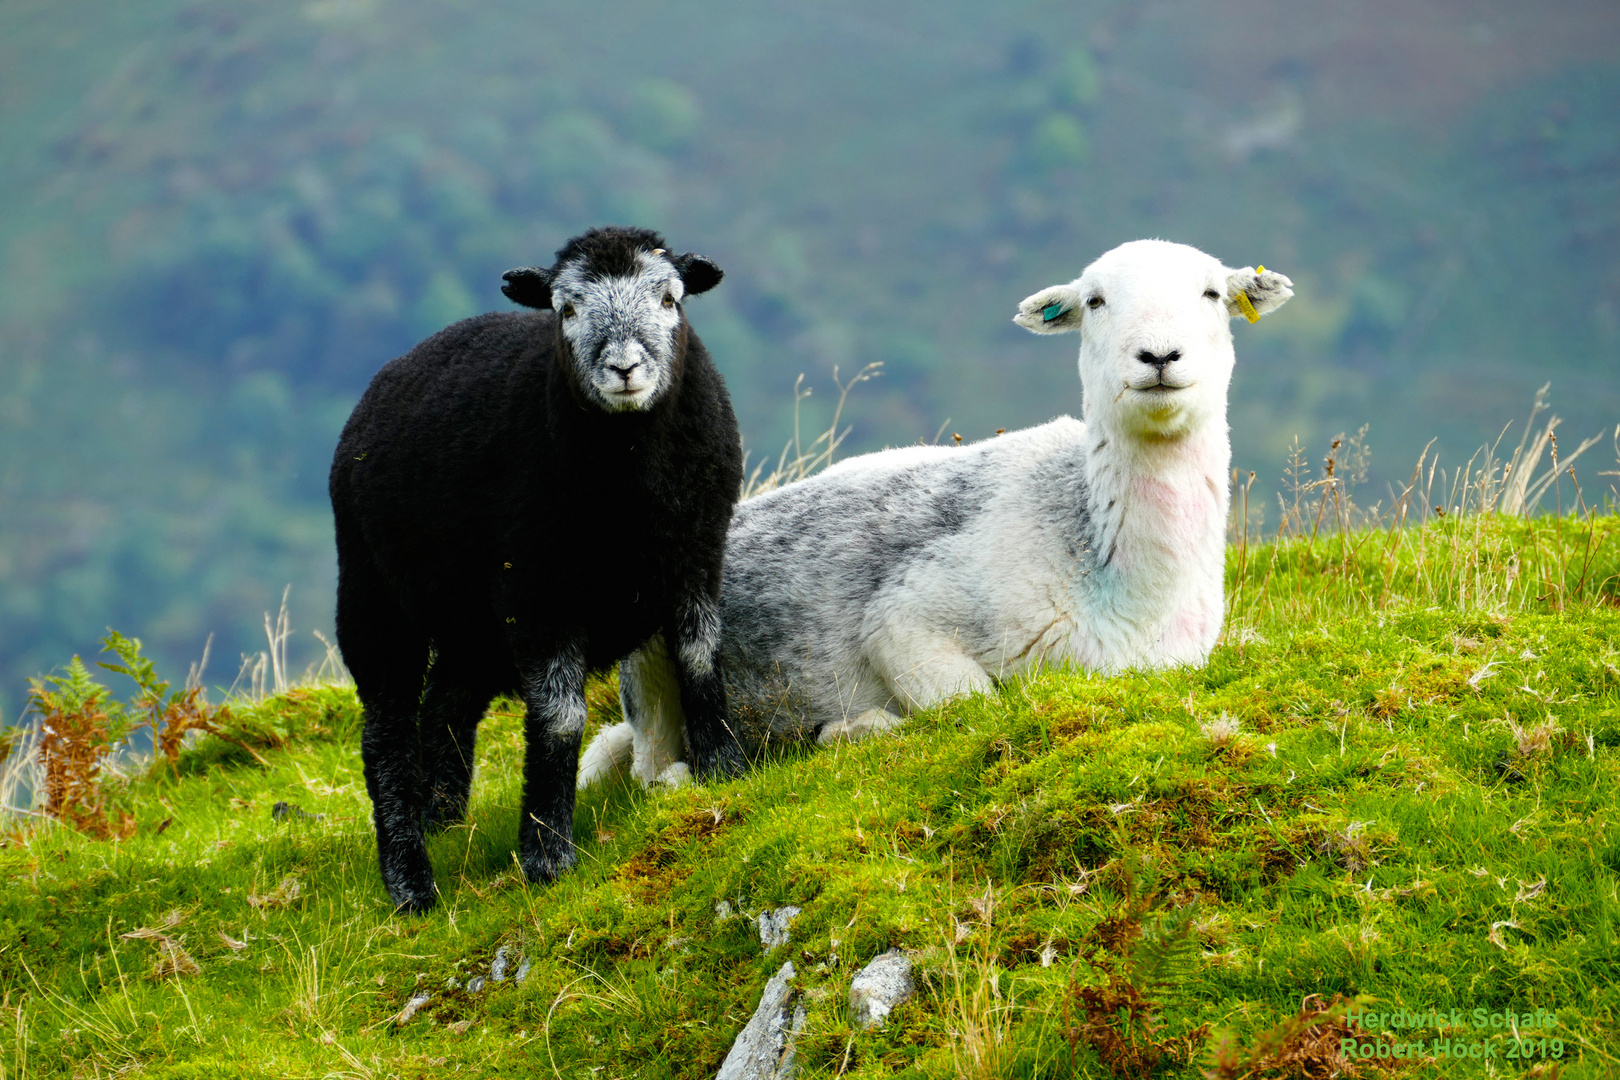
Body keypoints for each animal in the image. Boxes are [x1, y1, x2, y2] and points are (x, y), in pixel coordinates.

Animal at [330, 226, 745, 913]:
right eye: (566, 310)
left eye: (669, 299)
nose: (624, 368)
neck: (630, 498)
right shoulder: (536, 591)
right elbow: (559, 718)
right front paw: (548, 855)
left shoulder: (697, 558)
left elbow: (699, 660)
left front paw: (725, 771)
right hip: (372, 589)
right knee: (385, 729)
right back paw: (411, 880)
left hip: (470, 617)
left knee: (445, 703)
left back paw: (446, 819)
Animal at [583, 238, 1289, 786]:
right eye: (1095, 301)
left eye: (1211, 294)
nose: (1159, 357)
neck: (1123, 578)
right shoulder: (908, 620)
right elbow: (971, 702)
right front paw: (855, 727)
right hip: (650, 647)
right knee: (653, 771)